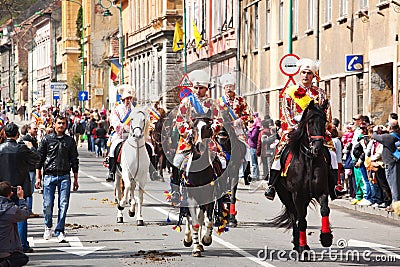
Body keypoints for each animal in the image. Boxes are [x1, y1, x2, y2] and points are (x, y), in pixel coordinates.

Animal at [270, 100, 332, 253]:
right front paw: (303, 247)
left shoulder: (322, 191)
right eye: (310, 122)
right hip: (285, 195)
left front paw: (326, 237)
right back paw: (297, 242)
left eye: (324, 121)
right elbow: (302, 220)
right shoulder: (297, 195)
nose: (317, 147)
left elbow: (324, 210)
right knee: (294, 216)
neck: (309, 161)